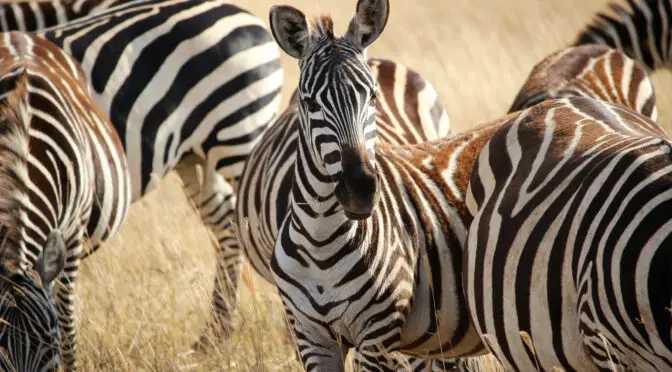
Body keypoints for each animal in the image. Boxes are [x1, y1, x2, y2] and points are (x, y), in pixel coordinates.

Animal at [264, 1, 494, 370]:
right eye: (310, 103)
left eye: (372, 97)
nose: (360, 191)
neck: (320, 240)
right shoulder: (309, 336)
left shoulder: (377, 334)